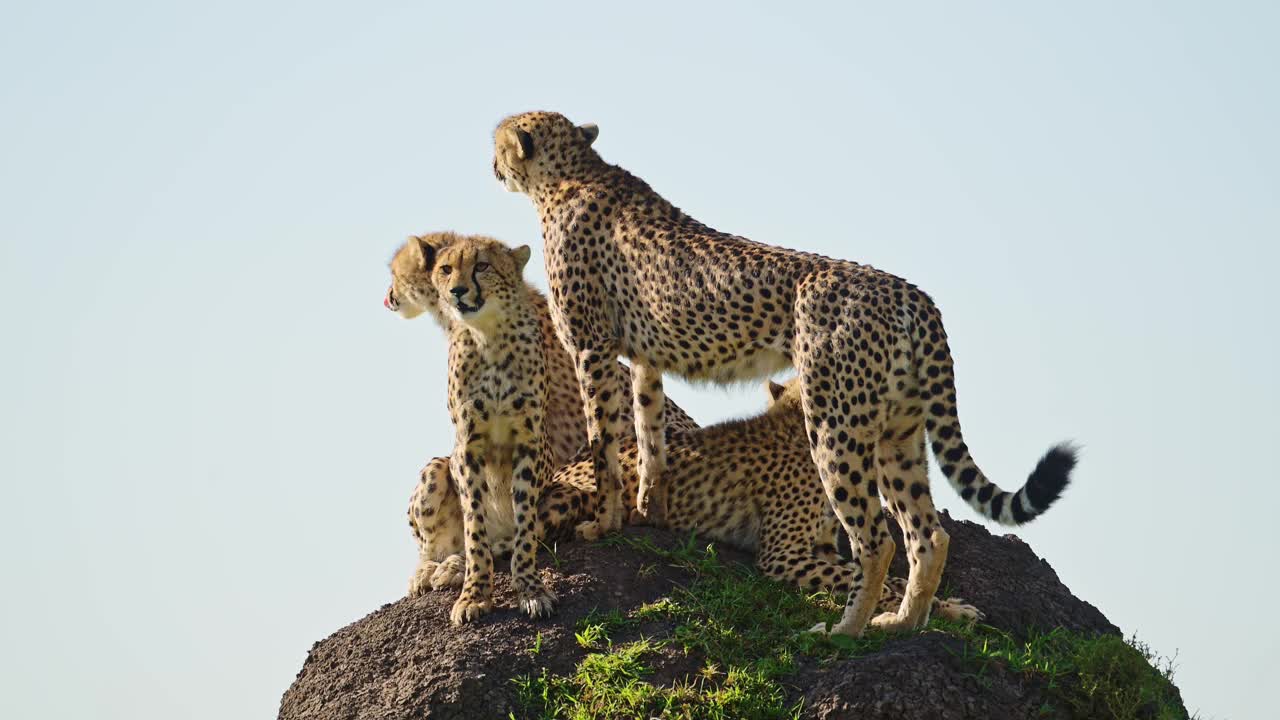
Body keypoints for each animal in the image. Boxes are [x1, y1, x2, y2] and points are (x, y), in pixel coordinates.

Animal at [384, 230, 696, 617]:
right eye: (445, 268)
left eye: (481, 267)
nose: (389, 296)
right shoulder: (468, 444)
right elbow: (474, 526)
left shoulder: (539, 441)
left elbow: (521, 528)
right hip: (440, 468)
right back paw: (434, 568)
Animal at [494, 110, 1075, 632]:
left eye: (499, 139)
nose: (492, 161)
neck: (573, 172)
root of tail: (909, 291)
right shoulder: (646, 357)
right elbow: (649, 432)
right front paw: (648, 504)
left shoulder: (590, 348)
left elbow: (603, 443)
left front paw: (605, 520)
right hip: (897, 431)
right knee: (927, 536)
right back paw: (902, 623)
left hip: (835, 422)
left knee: (875, 540)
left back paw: (847, 631)